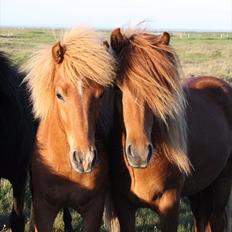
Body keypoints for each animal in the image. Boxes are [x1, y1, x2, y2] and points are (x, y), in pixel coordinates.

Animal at [106, 28, 232, 232]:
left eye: (158, 91)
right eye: (118, 88)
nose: (139, 154)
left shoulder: (169, 204)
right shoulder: (124, 205)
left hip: (223, 180)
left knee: (216, 220)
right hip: (200, 187)